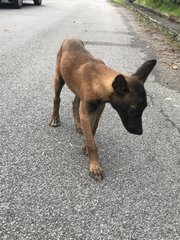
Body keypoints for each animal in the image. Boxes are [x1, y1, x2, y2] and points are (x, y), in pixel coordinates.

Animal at [48, 38, 156, 180]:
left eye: (144, 108)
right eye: (132, 110)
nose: (140, 132)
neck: (99, 80)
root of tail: (70, 38)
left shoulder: (100, 108)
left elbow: (93, 129)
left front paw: (86, 146)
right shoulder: (86, 113)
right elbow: (92, 143)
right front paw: (95, 166)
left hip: (78, 89)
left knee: (75, 103)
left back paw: (78, 125)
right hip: (59, 78)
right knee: (57, 99)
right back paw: (55, 118)